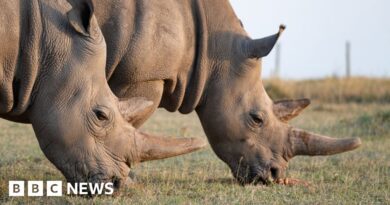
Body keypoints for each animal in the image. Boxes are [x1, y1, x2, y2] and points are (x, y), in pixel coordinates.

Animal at [89, 0, 362, 185]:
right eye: (256, 119)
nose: (276, 175)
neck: (212, 50)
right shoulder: (141, 76)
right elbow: (126, 122)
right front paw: (122, 179)